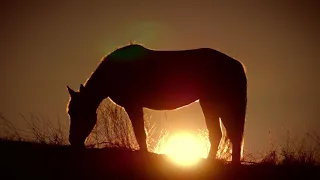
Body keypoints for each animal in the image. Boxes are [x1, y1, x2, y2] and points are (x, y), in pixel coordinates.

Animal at [65, 43, 248, 165]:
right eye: (70, 112)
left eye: (76, 112)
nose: (72, 141)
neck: (115, 71)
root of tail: (235, 63)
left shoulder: (133, 106)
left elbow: (140, 133)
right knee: (226, 134)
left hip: (215, 104)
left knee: (226, 134)